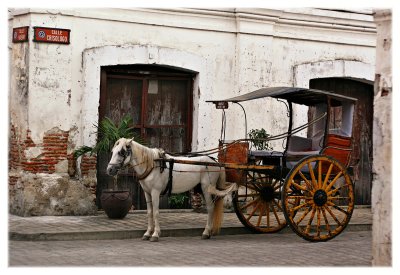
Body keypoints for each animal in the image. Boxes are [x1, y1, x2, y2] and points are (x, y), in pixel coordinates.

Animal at [106, 138, 238, 242]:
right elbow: (149, 212)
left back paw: (206, 232)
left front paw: (155, 235)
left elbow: (156, 212)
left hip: (207, 188)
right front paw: (147, 233)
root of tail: (215, 162)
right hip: (202, 189)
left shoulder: (155, 192)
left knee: (210, 208)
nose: (109, 170)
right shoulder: (147, 193)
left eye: (121, 152)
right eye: (113, 151)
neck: (152, 164)